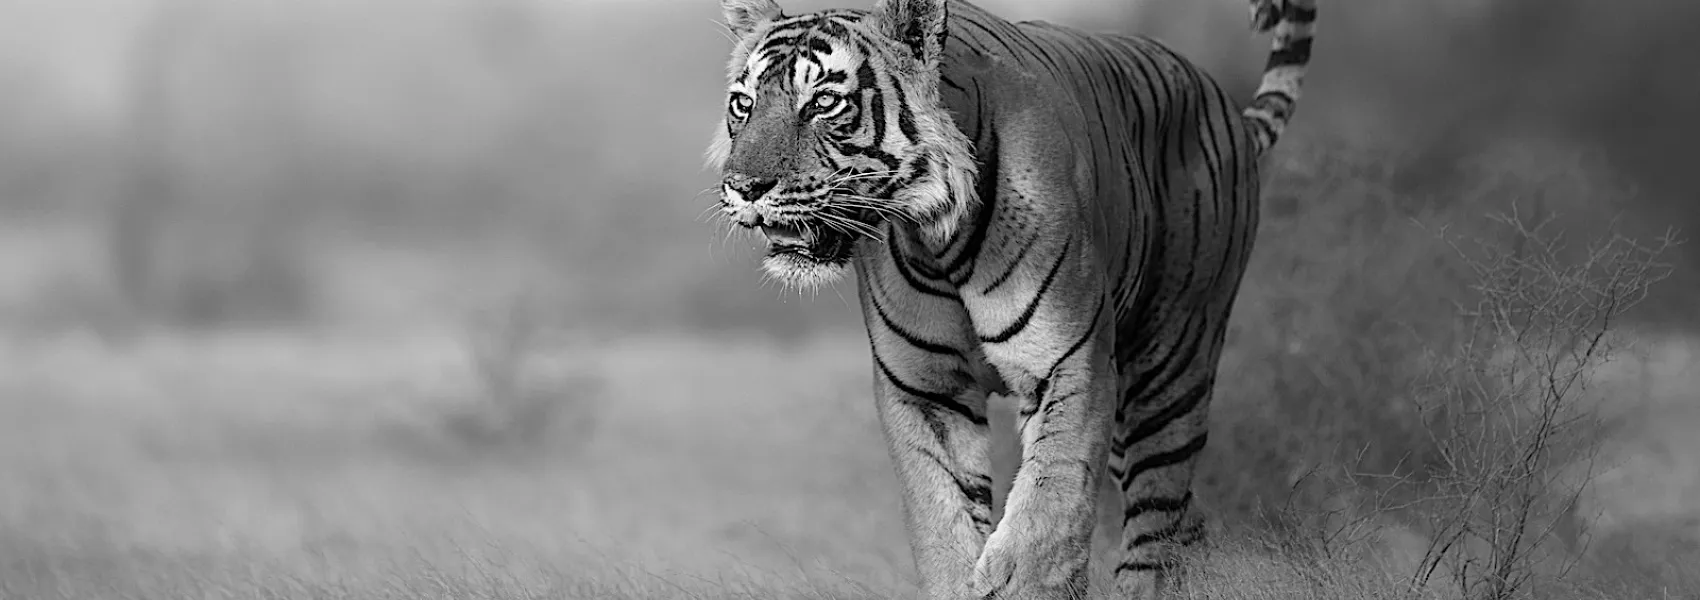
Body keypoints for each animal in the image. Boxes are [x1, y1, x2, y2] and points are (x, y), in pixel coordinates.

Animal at [705, 0, 1315, 597]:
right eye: (743, 104)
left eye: (824, 102)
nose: (744, 186)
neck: (937, 240)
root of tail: (1224, 104)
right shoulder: (925, 388)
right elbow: (943, 521)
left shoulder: (1071, 362)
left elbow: (1047, 515)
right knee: (1188, 519)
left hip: (1170, 370)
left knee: (1157, 528)